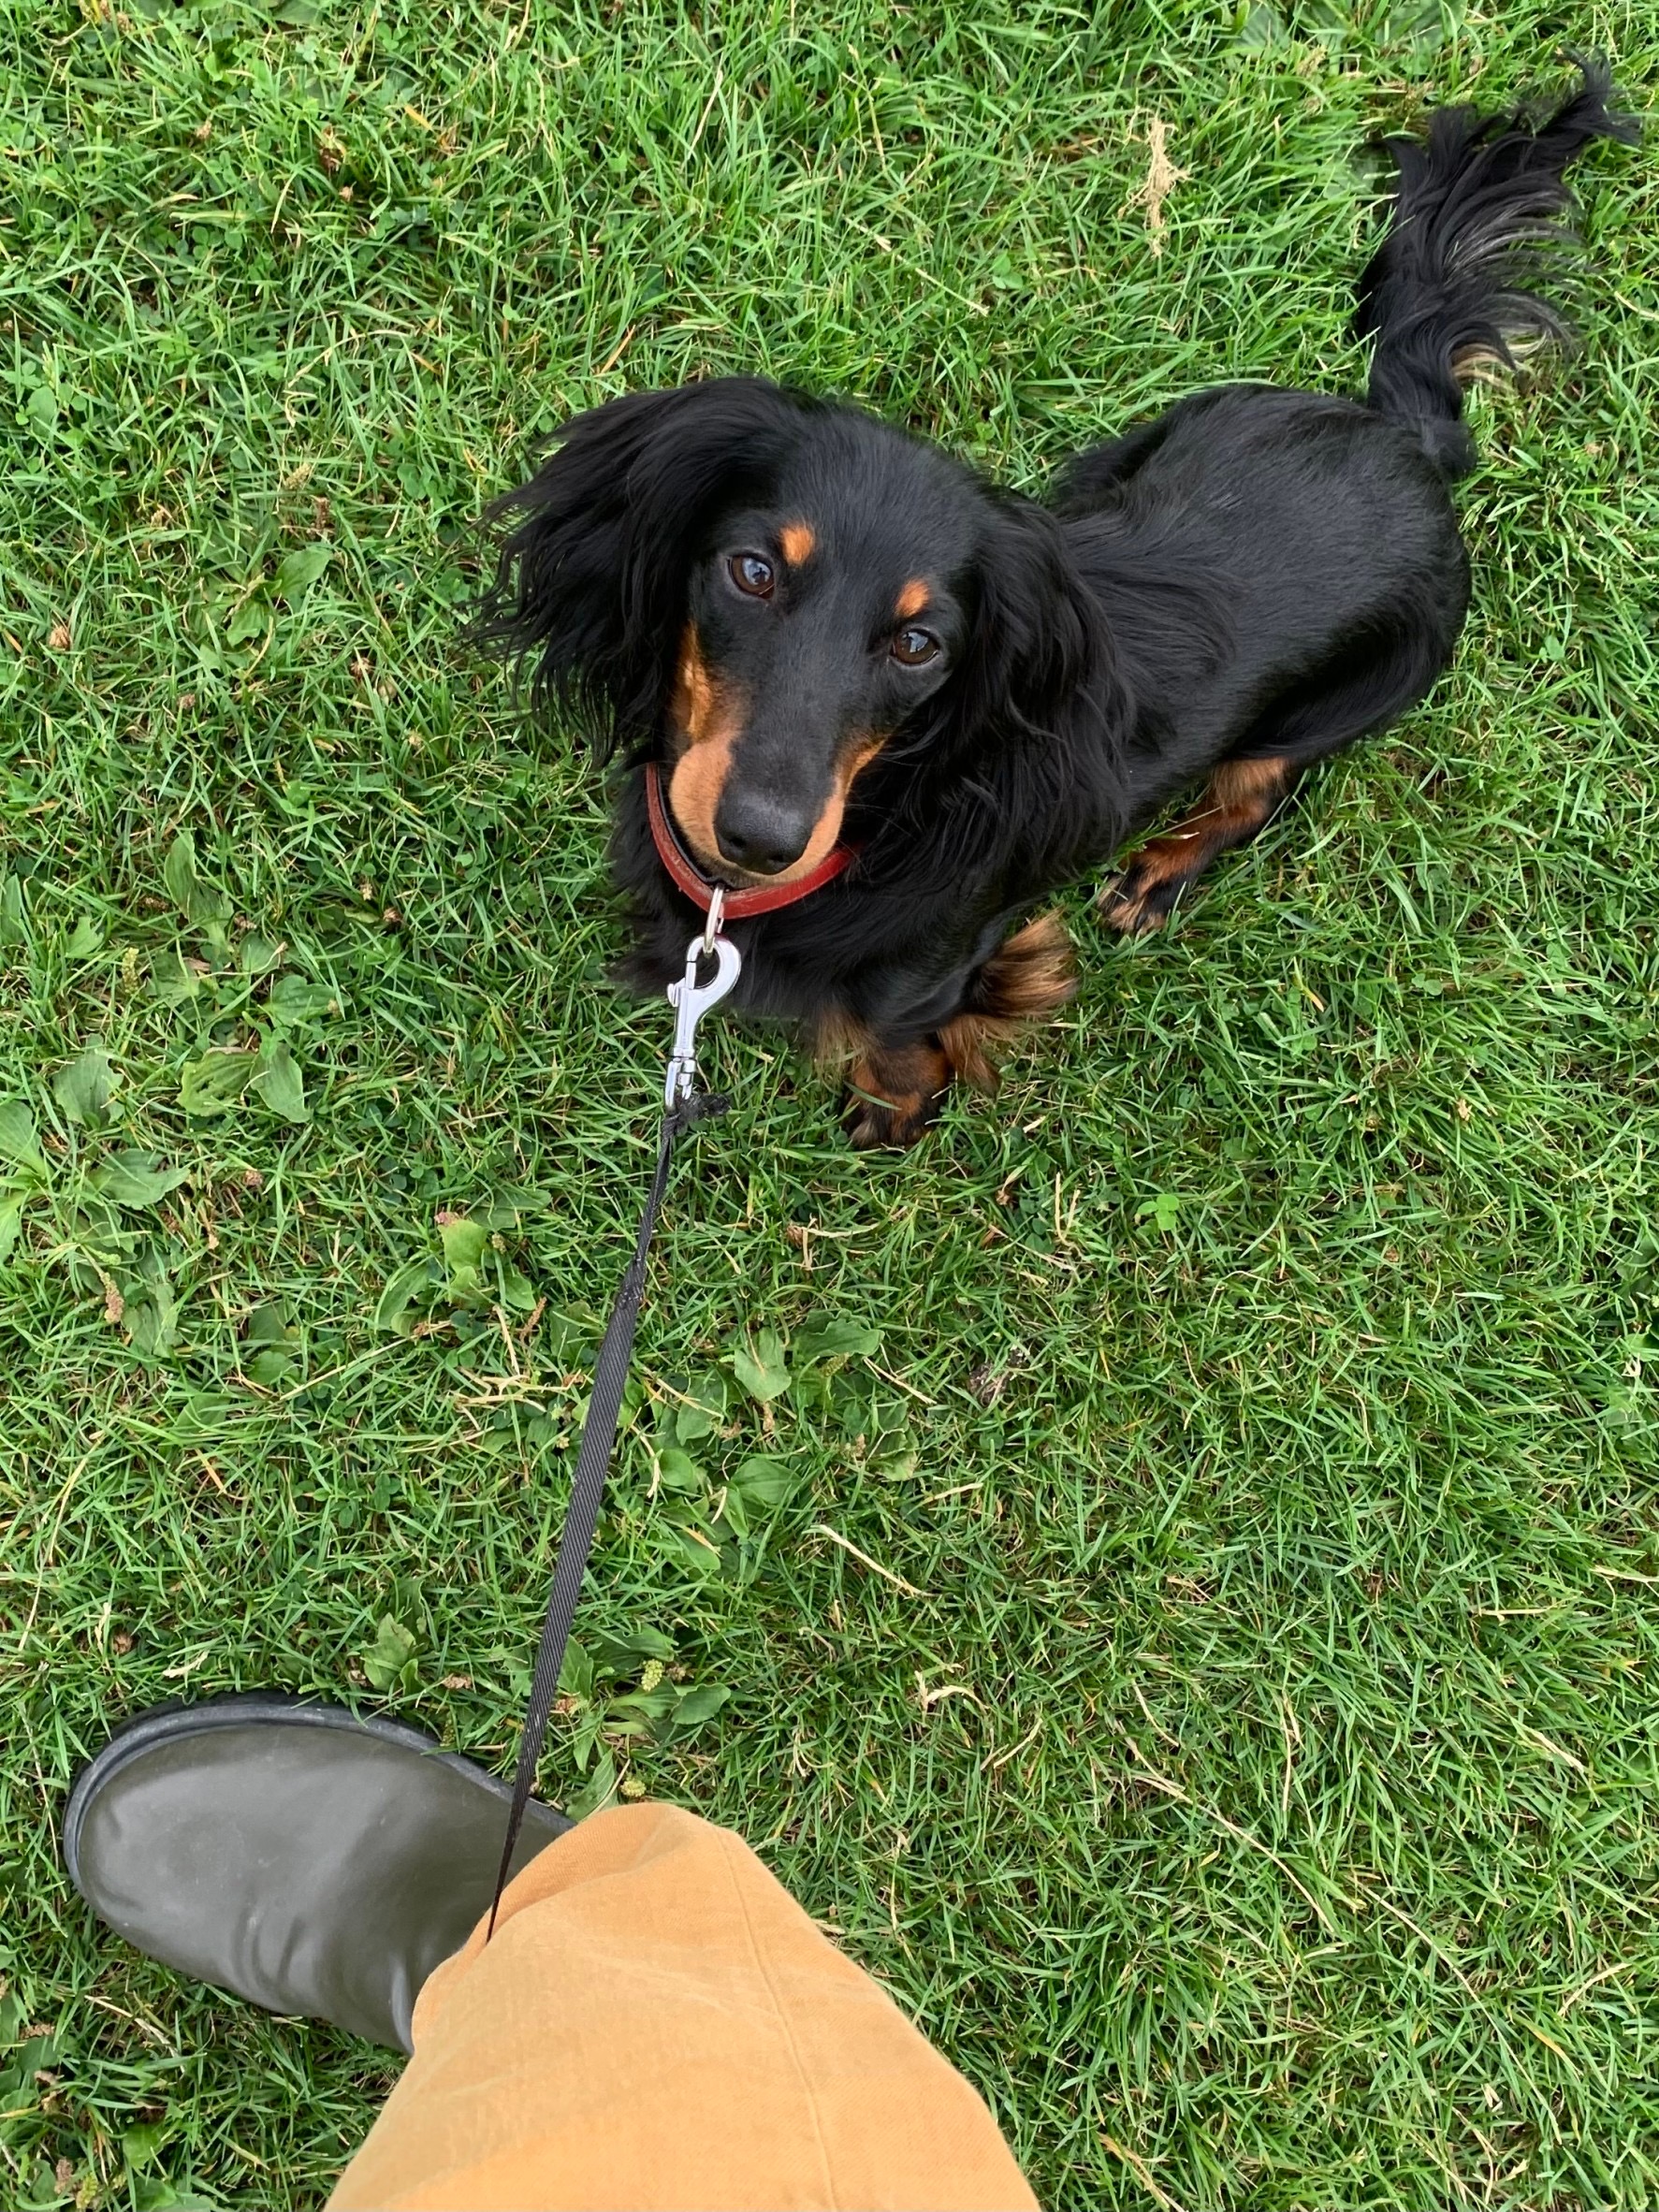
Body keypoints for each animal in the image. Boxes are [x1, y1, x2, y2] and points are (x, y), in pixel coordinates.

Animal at [479, 63, 1637, 1150]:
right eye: (754, 573)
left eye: (919, 643)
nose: (760, 840)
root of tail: (1411, 440)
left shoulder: (940, 968)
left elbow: (898, 1039)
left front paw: (892, 1110)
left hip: (1347, 699)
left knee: (1260, 793)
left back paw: (1161, 875)